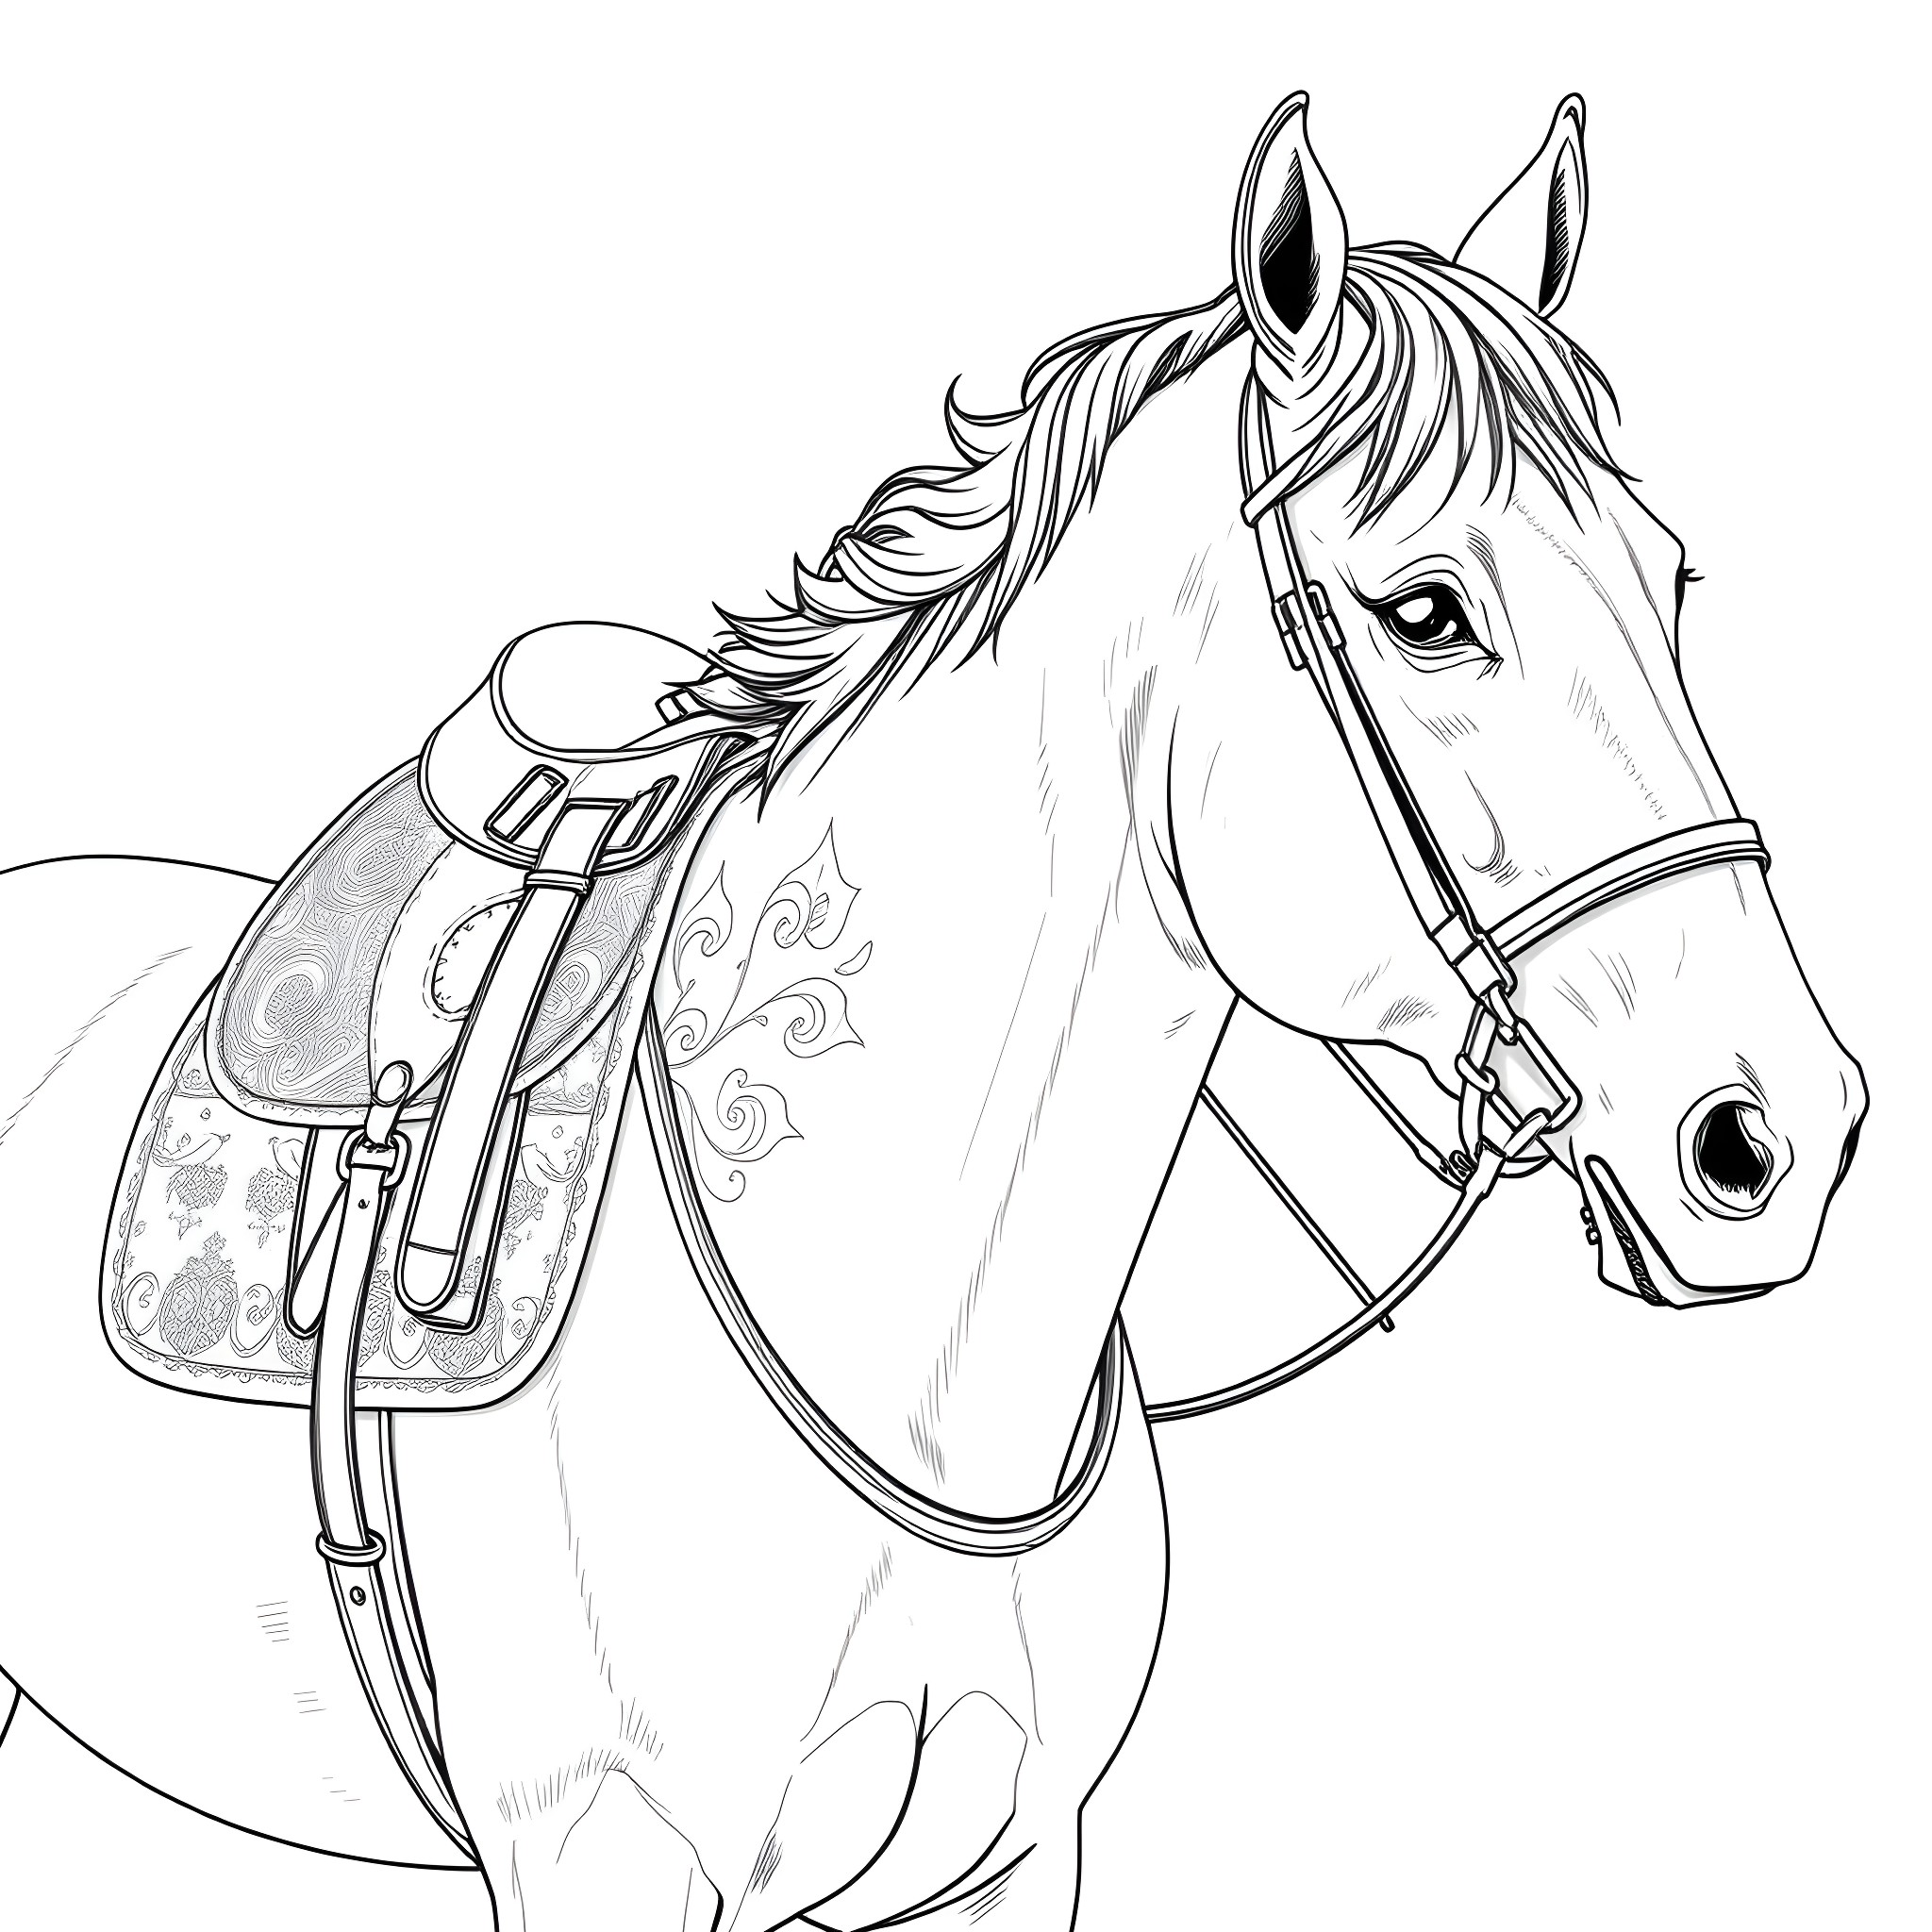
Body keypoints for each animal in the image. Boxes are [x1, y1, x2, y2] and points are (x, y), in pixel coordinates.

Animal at [0, 92, 1865, 1931]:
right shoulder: (603, 1857)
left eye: (1670, 581)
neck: (906, 1361)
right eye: (1426, 610)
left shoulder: (1014, 1859)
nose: (1769, 1136)